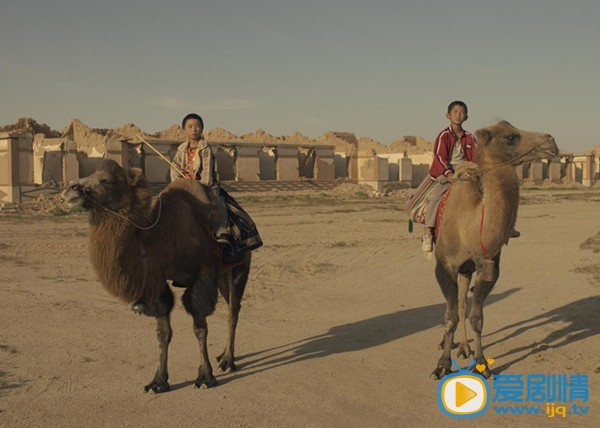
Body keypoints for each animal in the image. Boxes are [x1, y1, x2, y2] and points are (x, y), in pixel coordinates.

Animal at [62, 159, 253, 392]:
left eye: (106, 180)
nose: (70, 189)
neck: (160, 237)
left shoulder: (202, 274)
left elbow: (200, 328)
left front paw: (205, 377)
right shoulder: (157, 282)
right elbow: (163, 333)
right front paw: (159, 381)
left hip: (239, 268)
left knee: (233, 311)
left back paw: (228, 360)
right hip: (222, 276)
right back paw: (223, 356)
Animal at [432, 120, 556, 378]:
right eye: (510, 137)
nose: (551, 142)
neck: (468, 224)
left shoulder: (489, 267)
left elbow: (477, 317)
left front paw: (481, 363)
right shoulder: (444, 266)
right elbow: (449, 317)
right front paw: (442, 365)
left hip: (467, 269)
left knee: (462, 302)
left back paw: (465, 348)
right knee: (453, 307)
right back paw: (448, 344)